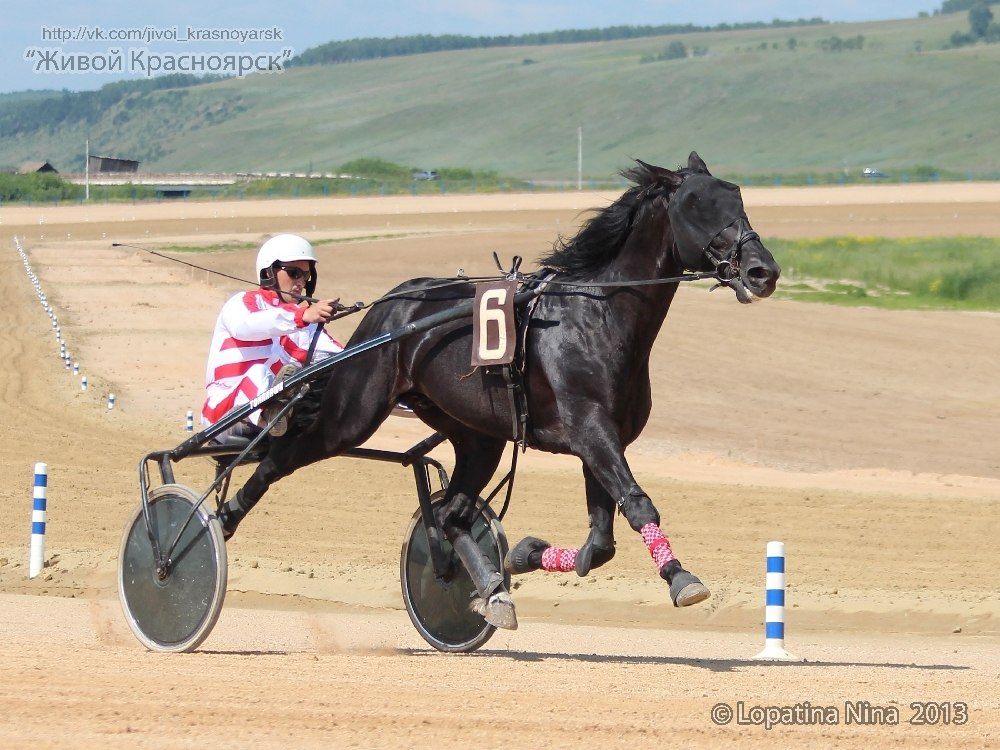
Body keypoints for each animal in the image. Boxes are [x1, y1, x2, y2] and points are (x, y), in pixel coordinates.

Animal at [219, 154, 780, 636]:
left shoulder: (600, 440)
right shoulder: (590, 430)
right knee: (281, 458)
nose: (763, 271)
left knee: (450, 515)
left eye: (737, 197)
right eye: (696, 205)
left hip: (478, 436)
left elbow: (600, 543)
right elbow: (638, 505)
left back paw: (491, 588)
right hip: (354, 411)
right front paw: (682, 579)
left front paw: (523, 554)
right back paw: (220, 518)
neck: (596, 316)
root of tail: (392, 304)